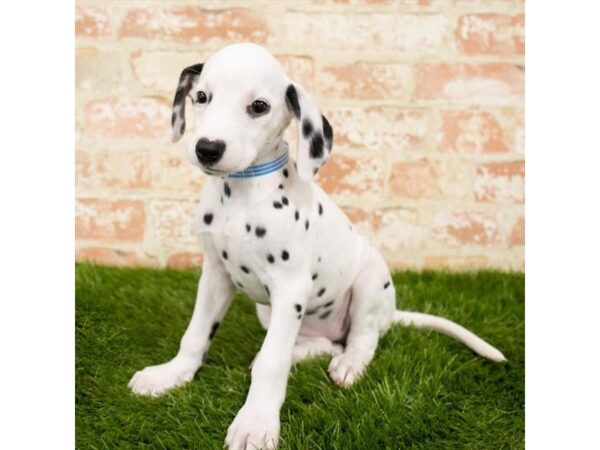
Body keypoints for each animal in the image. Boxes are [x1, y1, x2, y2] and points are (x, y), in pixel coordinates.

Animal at [127, 42, 506, 450]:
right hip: (272, 313)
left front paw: (256, 422)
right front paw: (171, 374)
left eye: (259, 106)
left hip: (370, 281)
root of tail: (390, 314)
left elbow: (272, 363)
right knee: (323, 343)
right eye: (201, 97)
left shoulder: (290, 287)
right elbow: (195, 334)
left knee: (361, 340)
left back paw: (348, 364)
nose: (208, 148)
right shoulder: (215, 275)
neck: (243, 194)